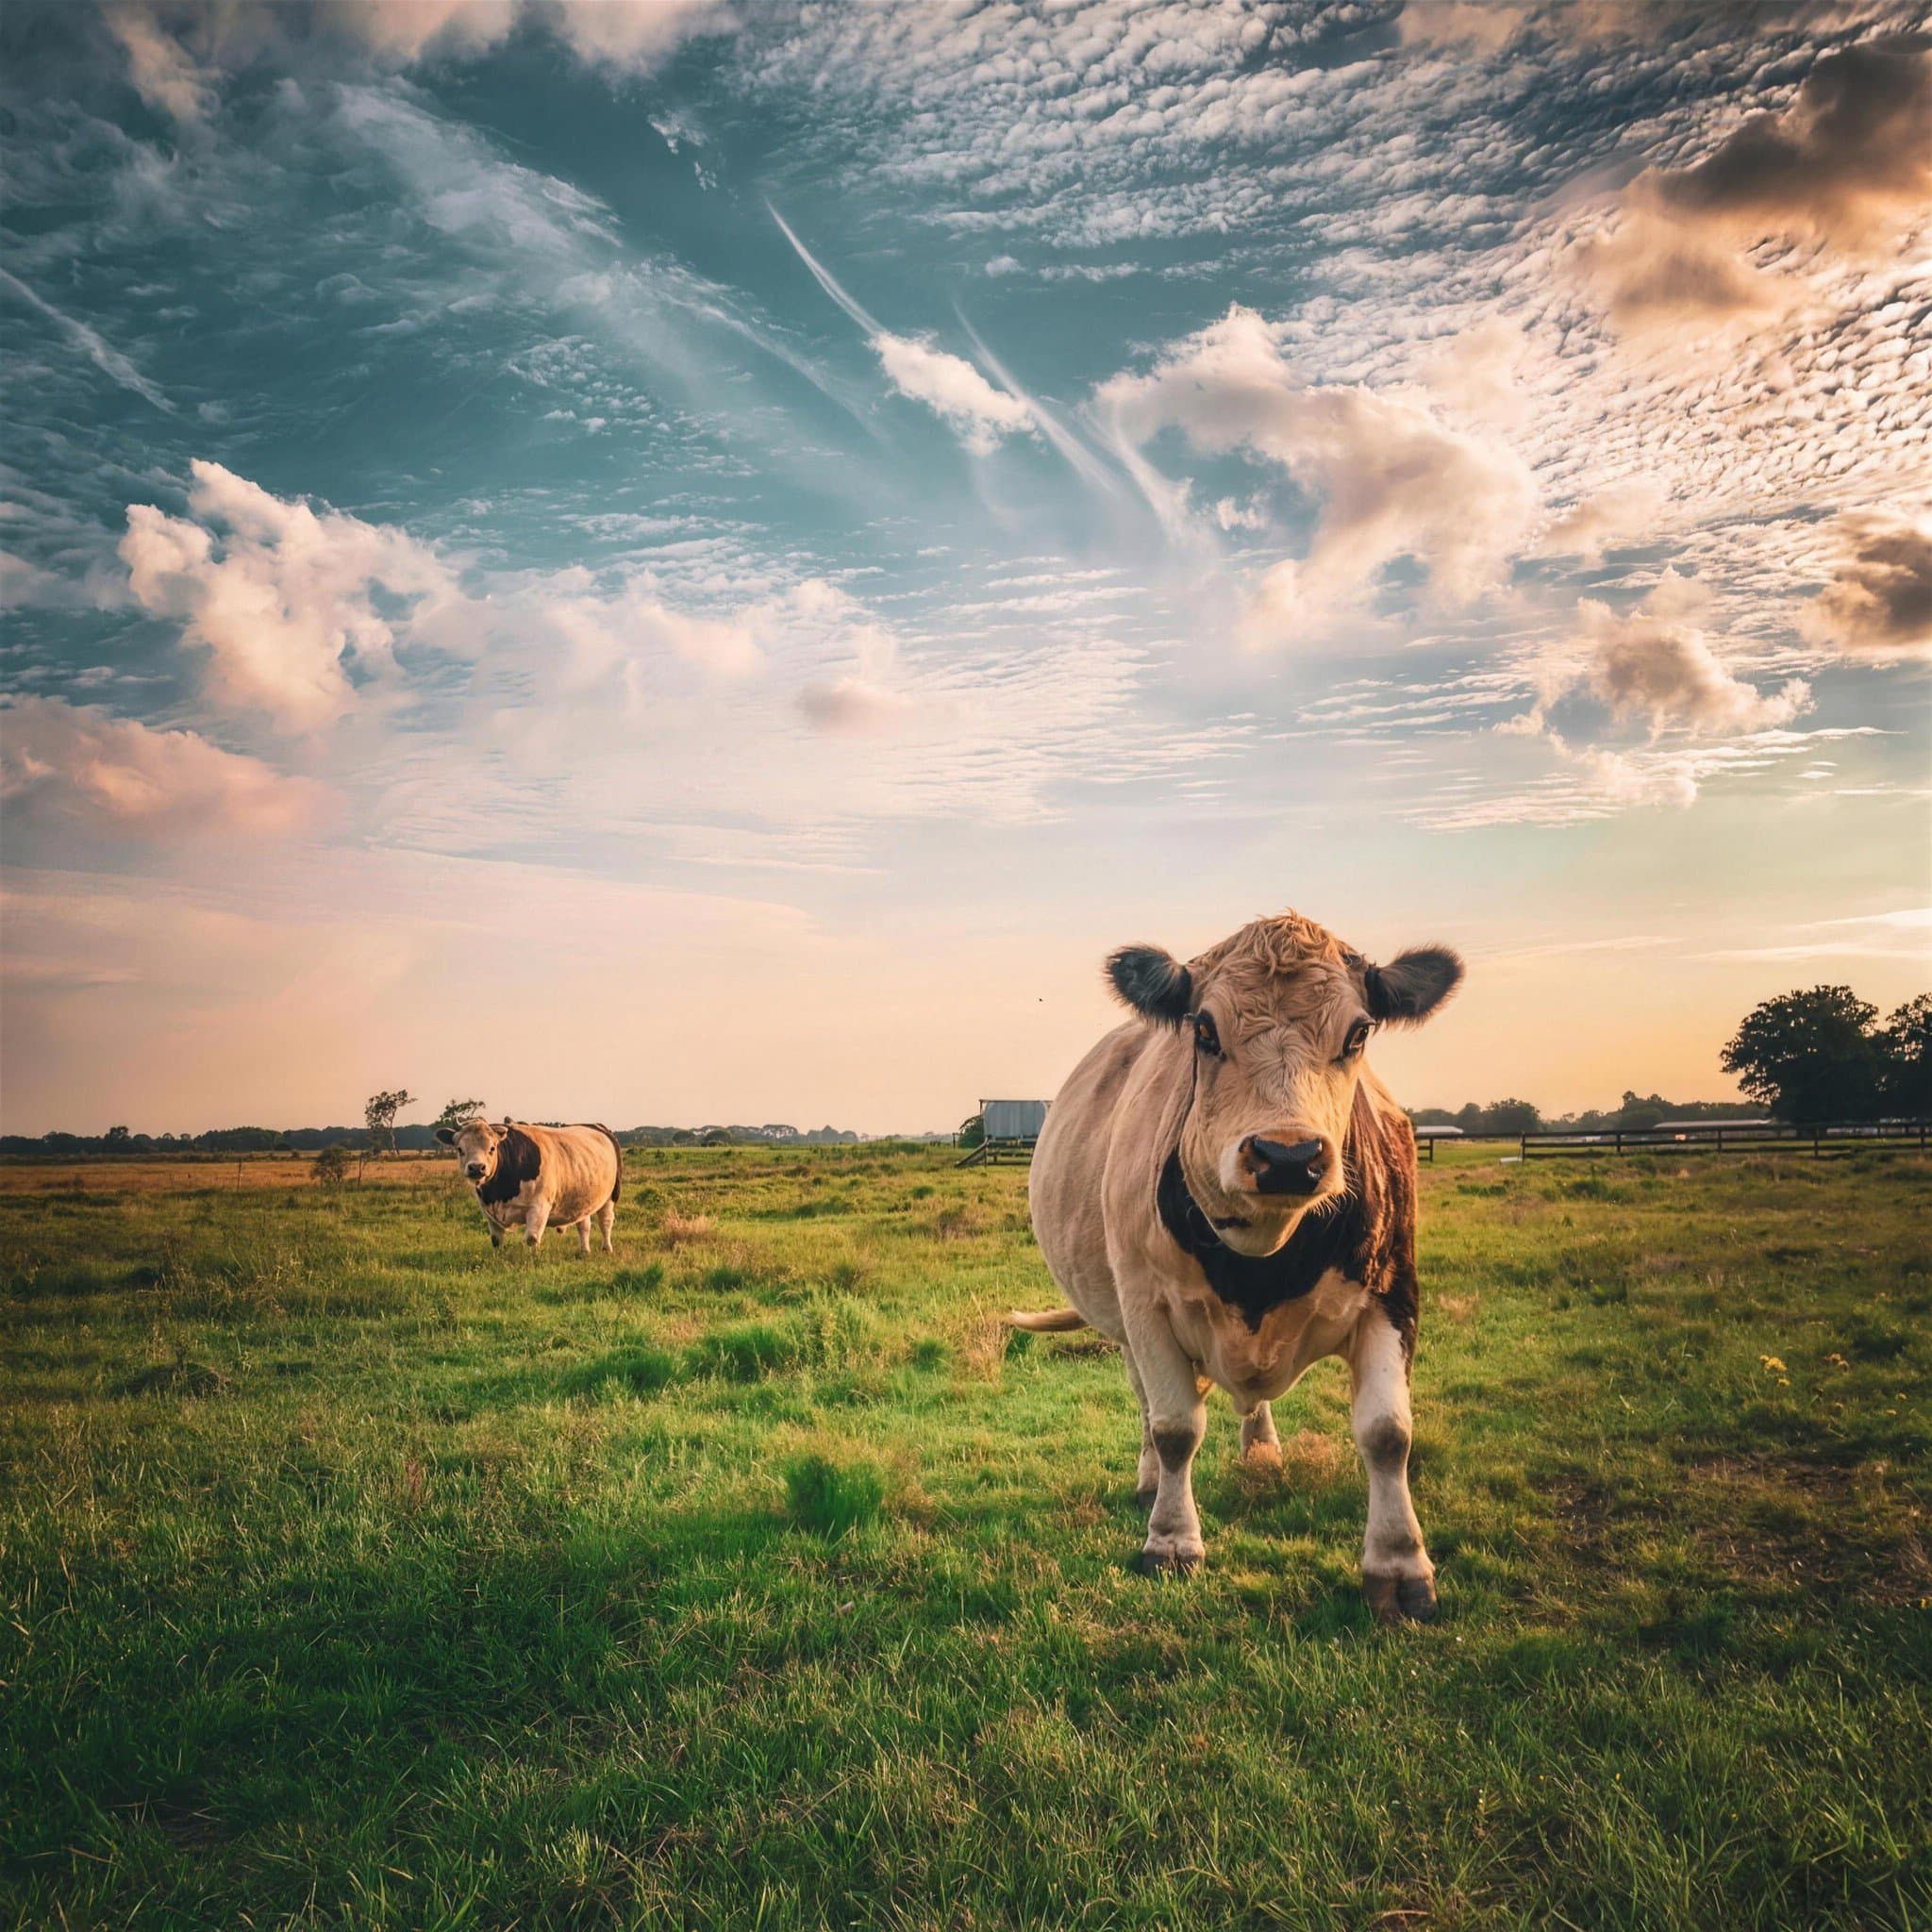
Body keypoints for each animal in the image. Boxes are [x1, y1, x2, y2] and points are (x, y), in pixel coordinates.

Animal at [434, 1118, 622, 1256]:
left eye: (492, 1148)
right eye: (460, 1149)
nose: (476, 1167)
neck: (499, 1192)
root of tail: (596, 1126)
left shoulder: (539, 1207)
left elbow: (532, 1238)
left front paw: (533, 1259)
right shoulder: (488, 1211)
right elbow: (496, 1239)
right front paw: (498, 1258)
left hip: (612, 1195)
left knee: (605, 1222)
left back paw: (607, 1249)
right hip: (581, 1198)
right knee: (584, 1225)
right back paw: (585, 1251)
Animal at [1013, 910, 1462, 1623]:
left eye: (1359, 1032)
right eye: (1203, 1029)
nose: (1288, 1156)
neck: (1263, 1262)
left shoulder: (1394, 1294)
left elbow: (1388, 1433)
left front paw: (1399, 1566)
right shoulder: (1146, 1309)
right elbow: (1174, 1427)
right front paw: (1171, 1542)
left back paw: (1262, 1450)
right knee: (1149, 1406)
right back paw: (1151, 1482)